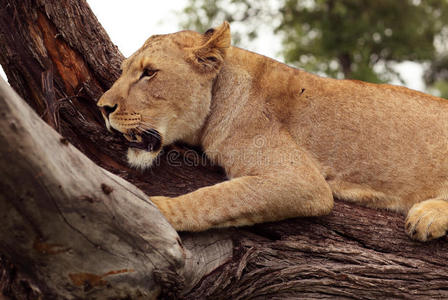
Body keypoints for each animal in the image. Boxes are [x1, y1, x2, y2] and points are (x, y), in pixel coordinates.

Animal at [97, 21, 448, 241]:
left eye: (149, 73)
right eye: (123, 71)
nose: (103, 107)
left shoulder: (301, 180)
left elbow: (217, 198)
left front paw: (154, 212)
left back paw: (427, 217)